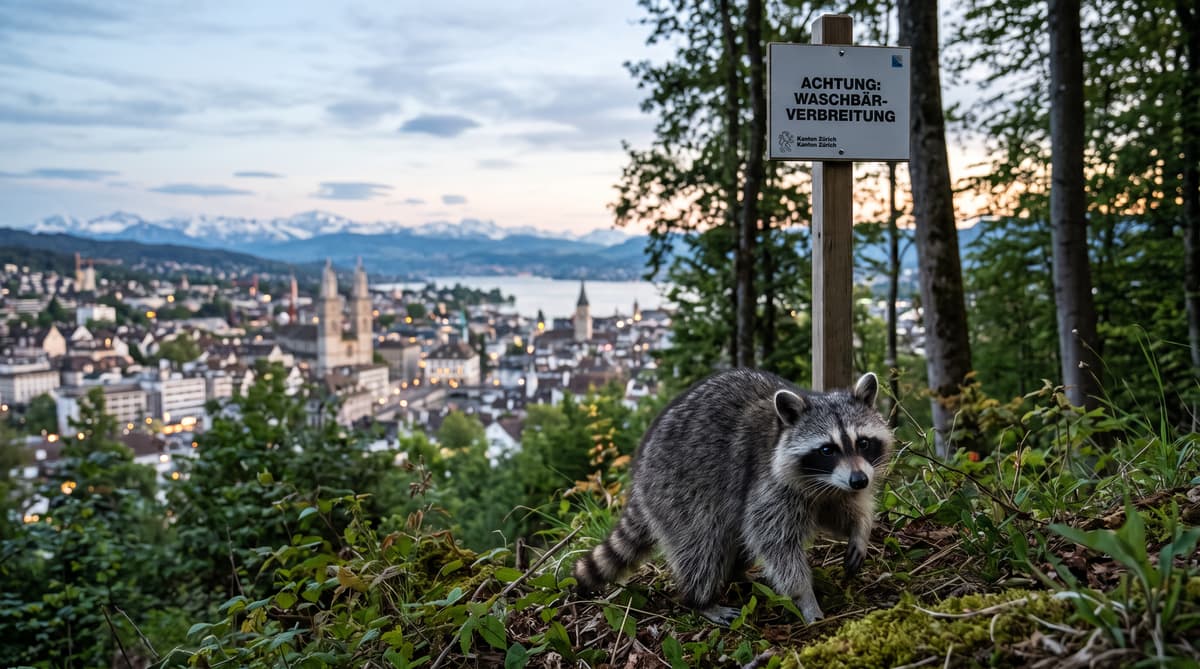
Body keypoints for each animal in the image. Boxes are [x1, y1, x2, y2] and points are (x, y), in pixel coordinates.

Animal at [573, 368, 893, 626]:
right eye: (828, 449)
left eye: (863, 443)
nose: (860, 481)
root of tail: (640, 473)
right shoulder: (769, 483)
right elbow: (775, 541)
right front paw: (804, 596)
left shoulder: (830, 488)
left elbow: (839, 511)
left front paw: (860, 530)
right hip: (675, 490)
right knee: (702, 544)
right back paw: (701, 599)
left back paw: (737, 573)